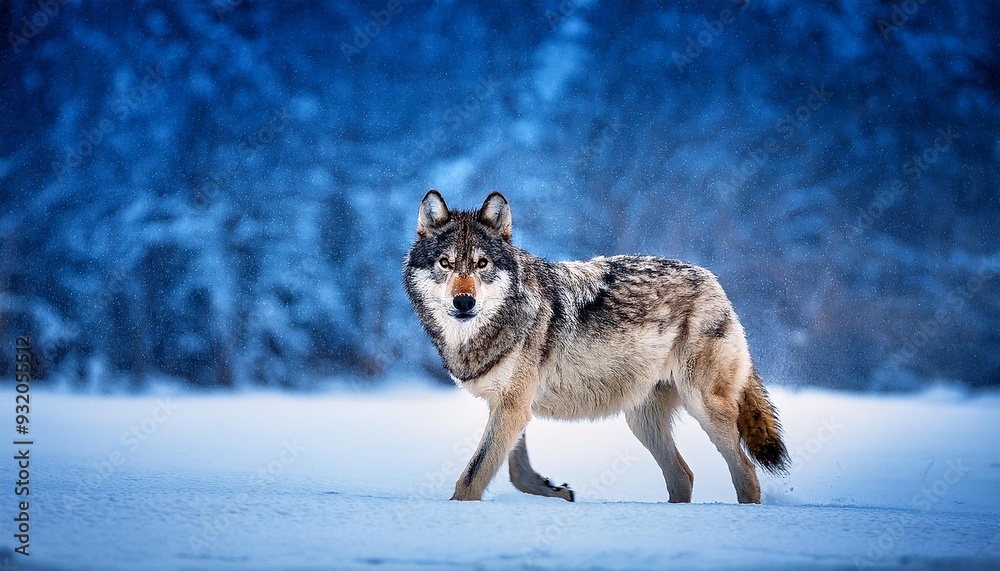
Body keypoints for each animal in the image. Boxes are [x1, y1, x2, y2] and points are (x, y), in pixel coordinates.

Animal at [403, 190, 789, 504]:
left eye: (481, 264)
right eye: (445, 263)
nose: (464, 302)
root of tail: (713, 280)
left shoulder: (513, 405)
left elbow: (473, 477)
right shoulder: (512, 405)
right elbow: (515, 471)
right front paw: (554, 489)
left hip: (704, 406)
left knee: (746, 473)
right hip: (641, 420)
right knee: (684, 476)